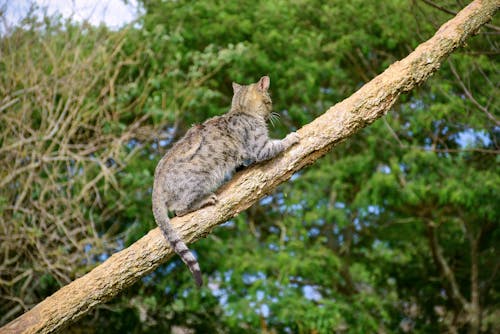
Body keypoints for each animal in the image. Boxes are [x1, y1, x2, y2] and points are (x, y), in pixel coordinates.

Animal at [151, 76, 300, 288]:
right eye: (270, 101)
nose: (272, 112)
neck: (241, 110)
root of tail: (155, 185)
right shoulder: (260, 148)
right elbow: (278, 144)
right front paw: (291, 137)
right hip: (200, 179)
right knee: (179, 209)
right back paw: (204, 200)